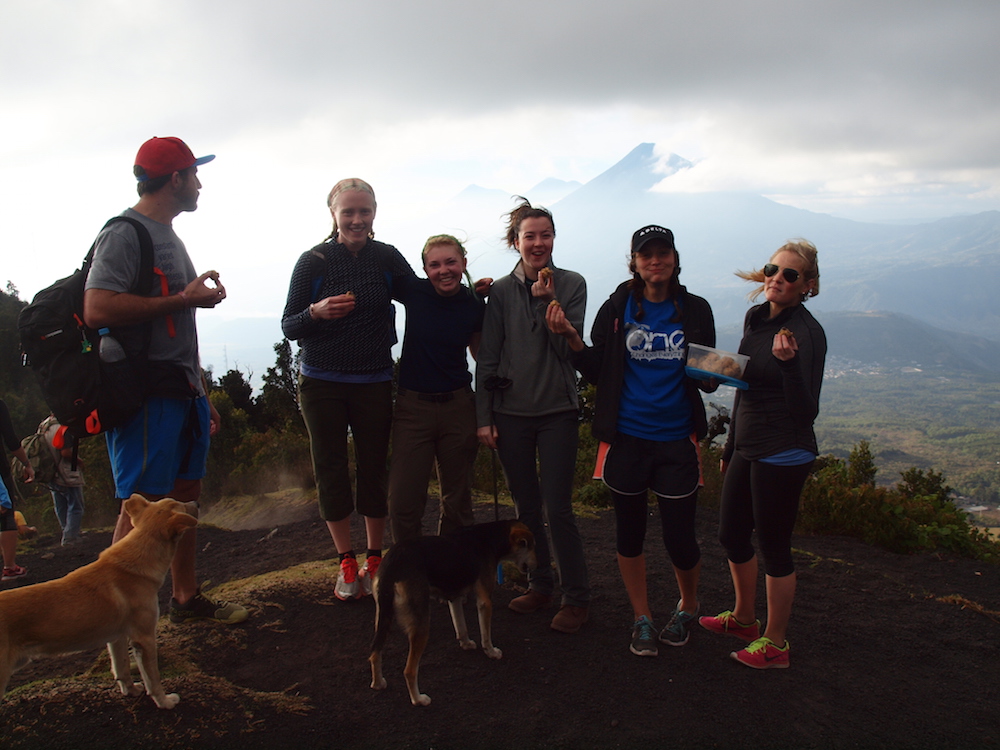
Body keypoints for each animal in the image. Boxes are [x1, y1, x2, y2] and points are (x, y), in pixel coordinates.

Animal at [0, 496, 197, 708]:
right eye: (181, 505)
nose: (196, 503)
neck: (137, 563)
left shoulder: (117, 637)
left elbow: (121, 668)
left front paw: (131, 690)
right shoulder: (144, 638)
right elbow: (153, 679)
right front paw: (164, 701)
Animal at [372, 520, 536, 708]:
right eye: (530, 546)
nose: (536, 565)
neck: (490, 536)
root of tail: (392, 563)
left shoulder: (454, 596)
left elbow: (461, 625)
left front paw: (466, 643)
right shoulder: (484, 601)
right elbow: (485, 635)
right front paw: (491, 652)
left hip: (382, 617)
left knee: (374, 653)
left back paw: (378, 683)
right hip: (420, 622)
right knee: (409, 670)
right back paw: (418, 699)